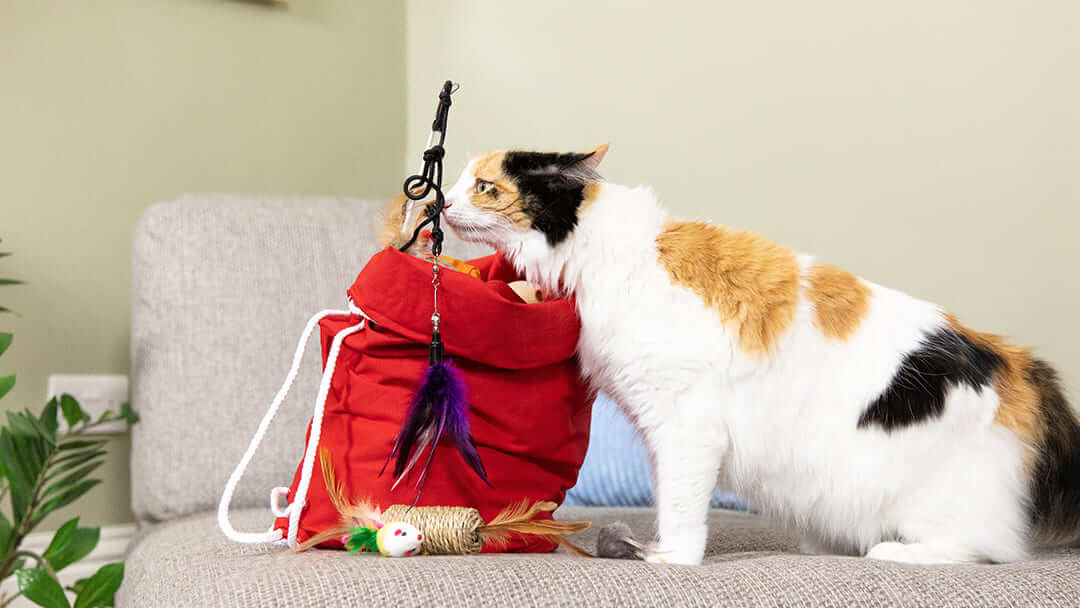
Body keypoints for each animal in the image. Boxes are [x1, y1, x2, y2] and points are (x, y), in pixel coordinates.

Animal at [438, 142, 1080, 565]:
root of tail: (1015, 362)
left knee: (986, 547)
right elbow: (668, 492)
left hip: (937, 502)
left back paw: (892, 552)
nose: (439, 202)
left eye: (485, 188)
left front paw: (671, 557)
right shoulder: (657, 425)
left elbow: (680, 502)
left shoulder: (685, 423)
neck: (612, 254)